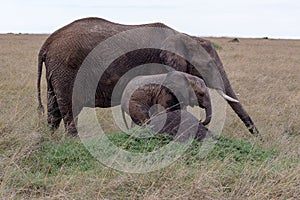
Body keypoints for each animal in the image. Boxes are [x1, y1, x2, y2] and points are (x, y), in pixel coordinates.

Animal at [37, 17, 258, 137]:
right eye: (208, 65)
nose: (260, 140)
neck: (183, 35)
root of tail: (46, 44)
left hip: (55, 72)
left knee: (54, 110)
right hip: (67, 70)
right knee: (69, 107)